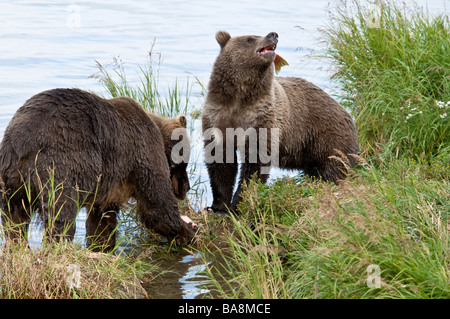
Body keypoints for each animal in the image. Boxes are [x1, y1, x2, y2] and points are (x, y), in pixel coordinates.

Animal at [0, 89, 197, 251]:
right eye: (183, 164)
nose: (186, 188)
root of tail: (21, 142)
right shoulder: (143, 151)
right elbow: (158, 205)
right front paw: (189, 231)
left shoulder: (109, 185)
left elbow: (102, 221)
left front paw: (101, 246)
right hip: (58, 167)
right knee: (61, 215)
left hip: (10, 180)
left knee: (14, 219)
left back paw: (18, 248)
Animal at [203, 31, 358, 215]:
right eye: (250, 38)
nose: (273, 34)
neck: (240, 96)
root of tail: (347, 113)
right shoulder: (217, 117)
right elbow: (220, 162)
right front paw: (218, 206)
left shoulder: (262, 120)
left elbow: (255, 164)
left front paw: (239, 203)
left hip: (327, 138)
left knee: (334, 167)